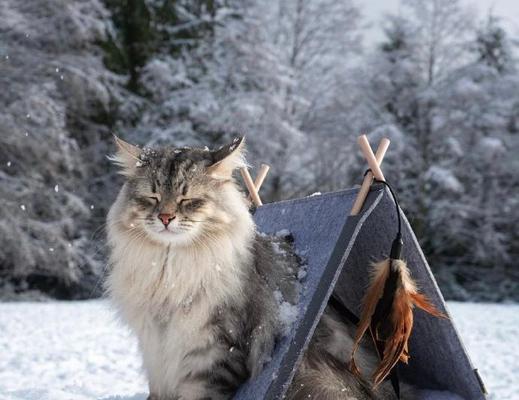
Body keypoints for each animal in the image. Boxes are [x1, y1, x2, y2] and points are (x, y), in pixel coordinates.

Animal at [105, 136, 398, 398]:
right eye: (152, 198)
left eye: (188, 200)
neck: (170, 269)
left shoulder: (213, 356)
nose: (165, 218)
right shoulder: (155, 354)